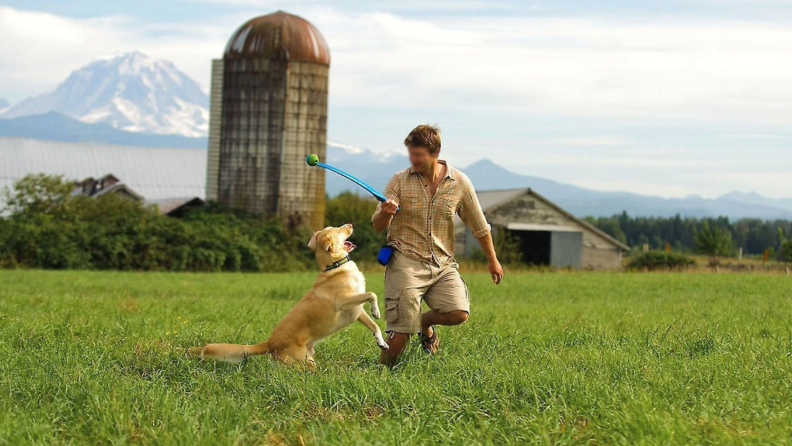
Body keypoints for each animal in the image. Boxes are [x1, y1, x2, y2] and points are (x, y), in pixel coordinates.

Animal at [197, 223, 384, 366]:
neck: (336, 266)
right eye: (338, 230)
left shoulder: (357, 310)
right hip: (305, 362)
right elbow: (372, 294)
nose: (350, 224)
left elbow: (374, 325)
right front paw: (376, 311)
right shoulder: (344, 302)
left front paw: (381, 342)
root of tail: (270, 343)